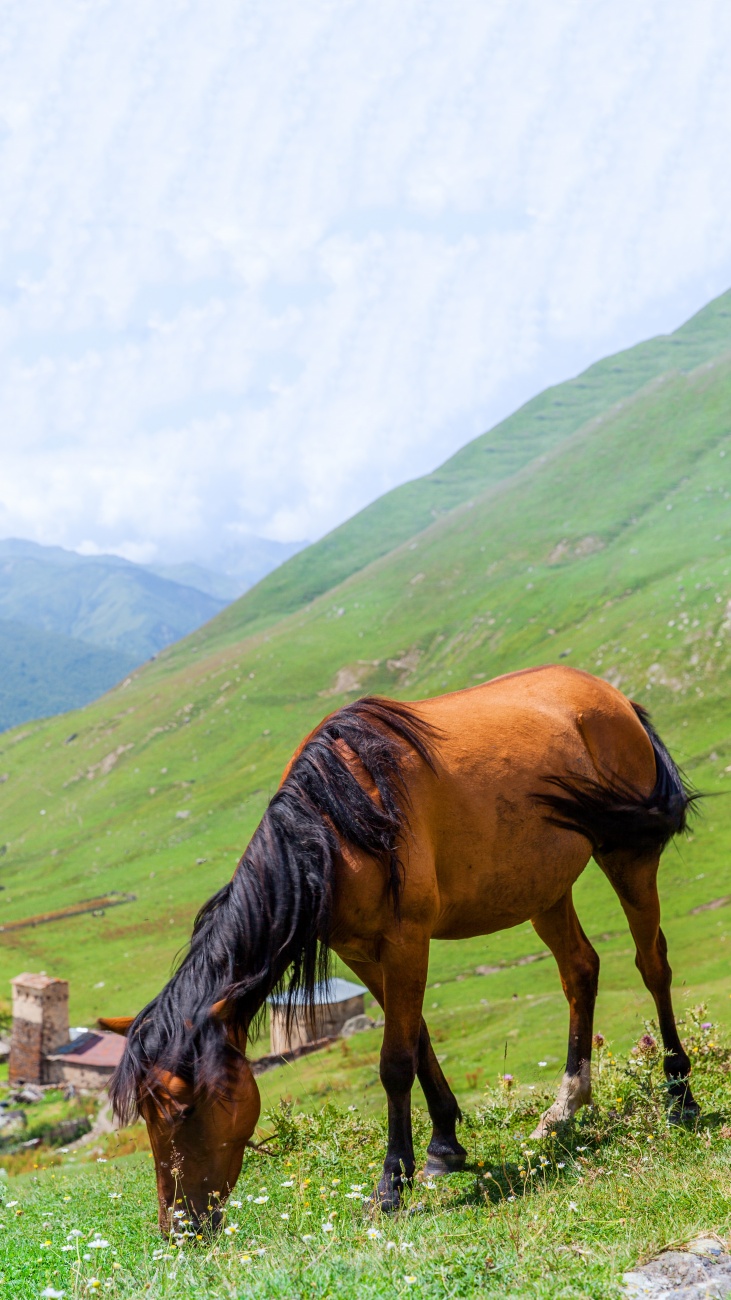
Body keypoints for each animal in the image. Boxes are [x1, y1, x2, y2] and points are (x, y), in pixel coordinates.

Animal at [100, 670, 691, 1227]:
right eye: (147, 1114)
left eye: (184, 1109)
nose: (179, 1227)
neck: (336, 825)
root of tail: (614, 698)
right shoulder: (362, 953)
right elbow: (418, 1037)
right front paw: (444, 1146)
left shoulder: (406, 941)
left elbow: (395, 1062)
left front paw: (390, 1185)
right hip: (544, 891)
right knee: (579, 971)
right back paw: (565, 1107)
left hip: (629, 857)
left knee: (652, 964)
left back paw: (680, 1095)